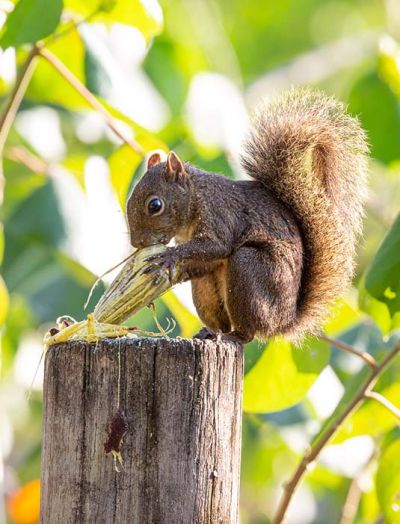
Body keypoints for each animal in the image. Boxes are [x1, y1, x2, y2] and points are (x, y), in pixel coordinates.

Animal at [126, 89, 368, 344]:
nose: (137, 243)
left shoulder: (219, 214)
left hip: (250, 271)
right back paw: (210, 332)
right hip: (206, 291)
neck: (195, 195)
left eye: (155, 205)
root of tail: (283, 323)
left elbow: (218, 246)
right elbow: (204, 261)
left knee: (248, 333)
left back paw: (234, 336)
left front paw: (170, 256)